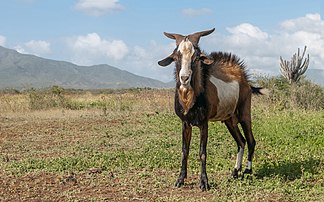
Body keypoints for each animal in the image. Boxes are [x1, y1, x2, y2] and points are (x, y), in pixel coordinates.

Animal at [158, 28, 268, 191]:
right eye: (176, 56)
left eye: (196, 57)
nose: (184, 78)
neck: (191, 99)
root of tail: (245, 81)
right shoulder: (185, 123)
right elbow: (185, 151)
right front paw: (180, 180)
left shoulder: (204, 123)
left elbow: (202, 152)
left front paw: (204, 182)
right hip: (229, 120)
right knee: (241, 141)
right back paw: (235, 171)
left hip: (244, 114)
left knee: (250, 140)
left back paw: (247, 171)